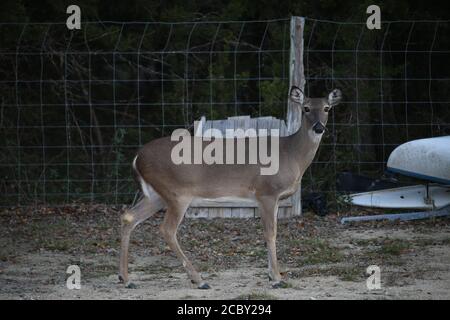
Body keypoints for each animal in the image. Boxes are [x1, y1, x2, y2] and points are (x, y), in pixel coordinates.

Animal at [118, 86, 342, 288]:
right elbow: (270, 233)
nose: (319, 128)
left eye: (327, 108)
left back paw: (126, 279)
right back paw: (199, 280)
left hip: (156, 195)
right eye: (305, 108)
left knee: (129, 217)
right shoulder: (266, 192)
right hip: (176, 193)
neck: (291, 155)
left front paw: (272, 275)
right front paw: (277, 278)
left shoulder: (275, 198)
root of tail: (137, 157)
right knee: (167, 229)